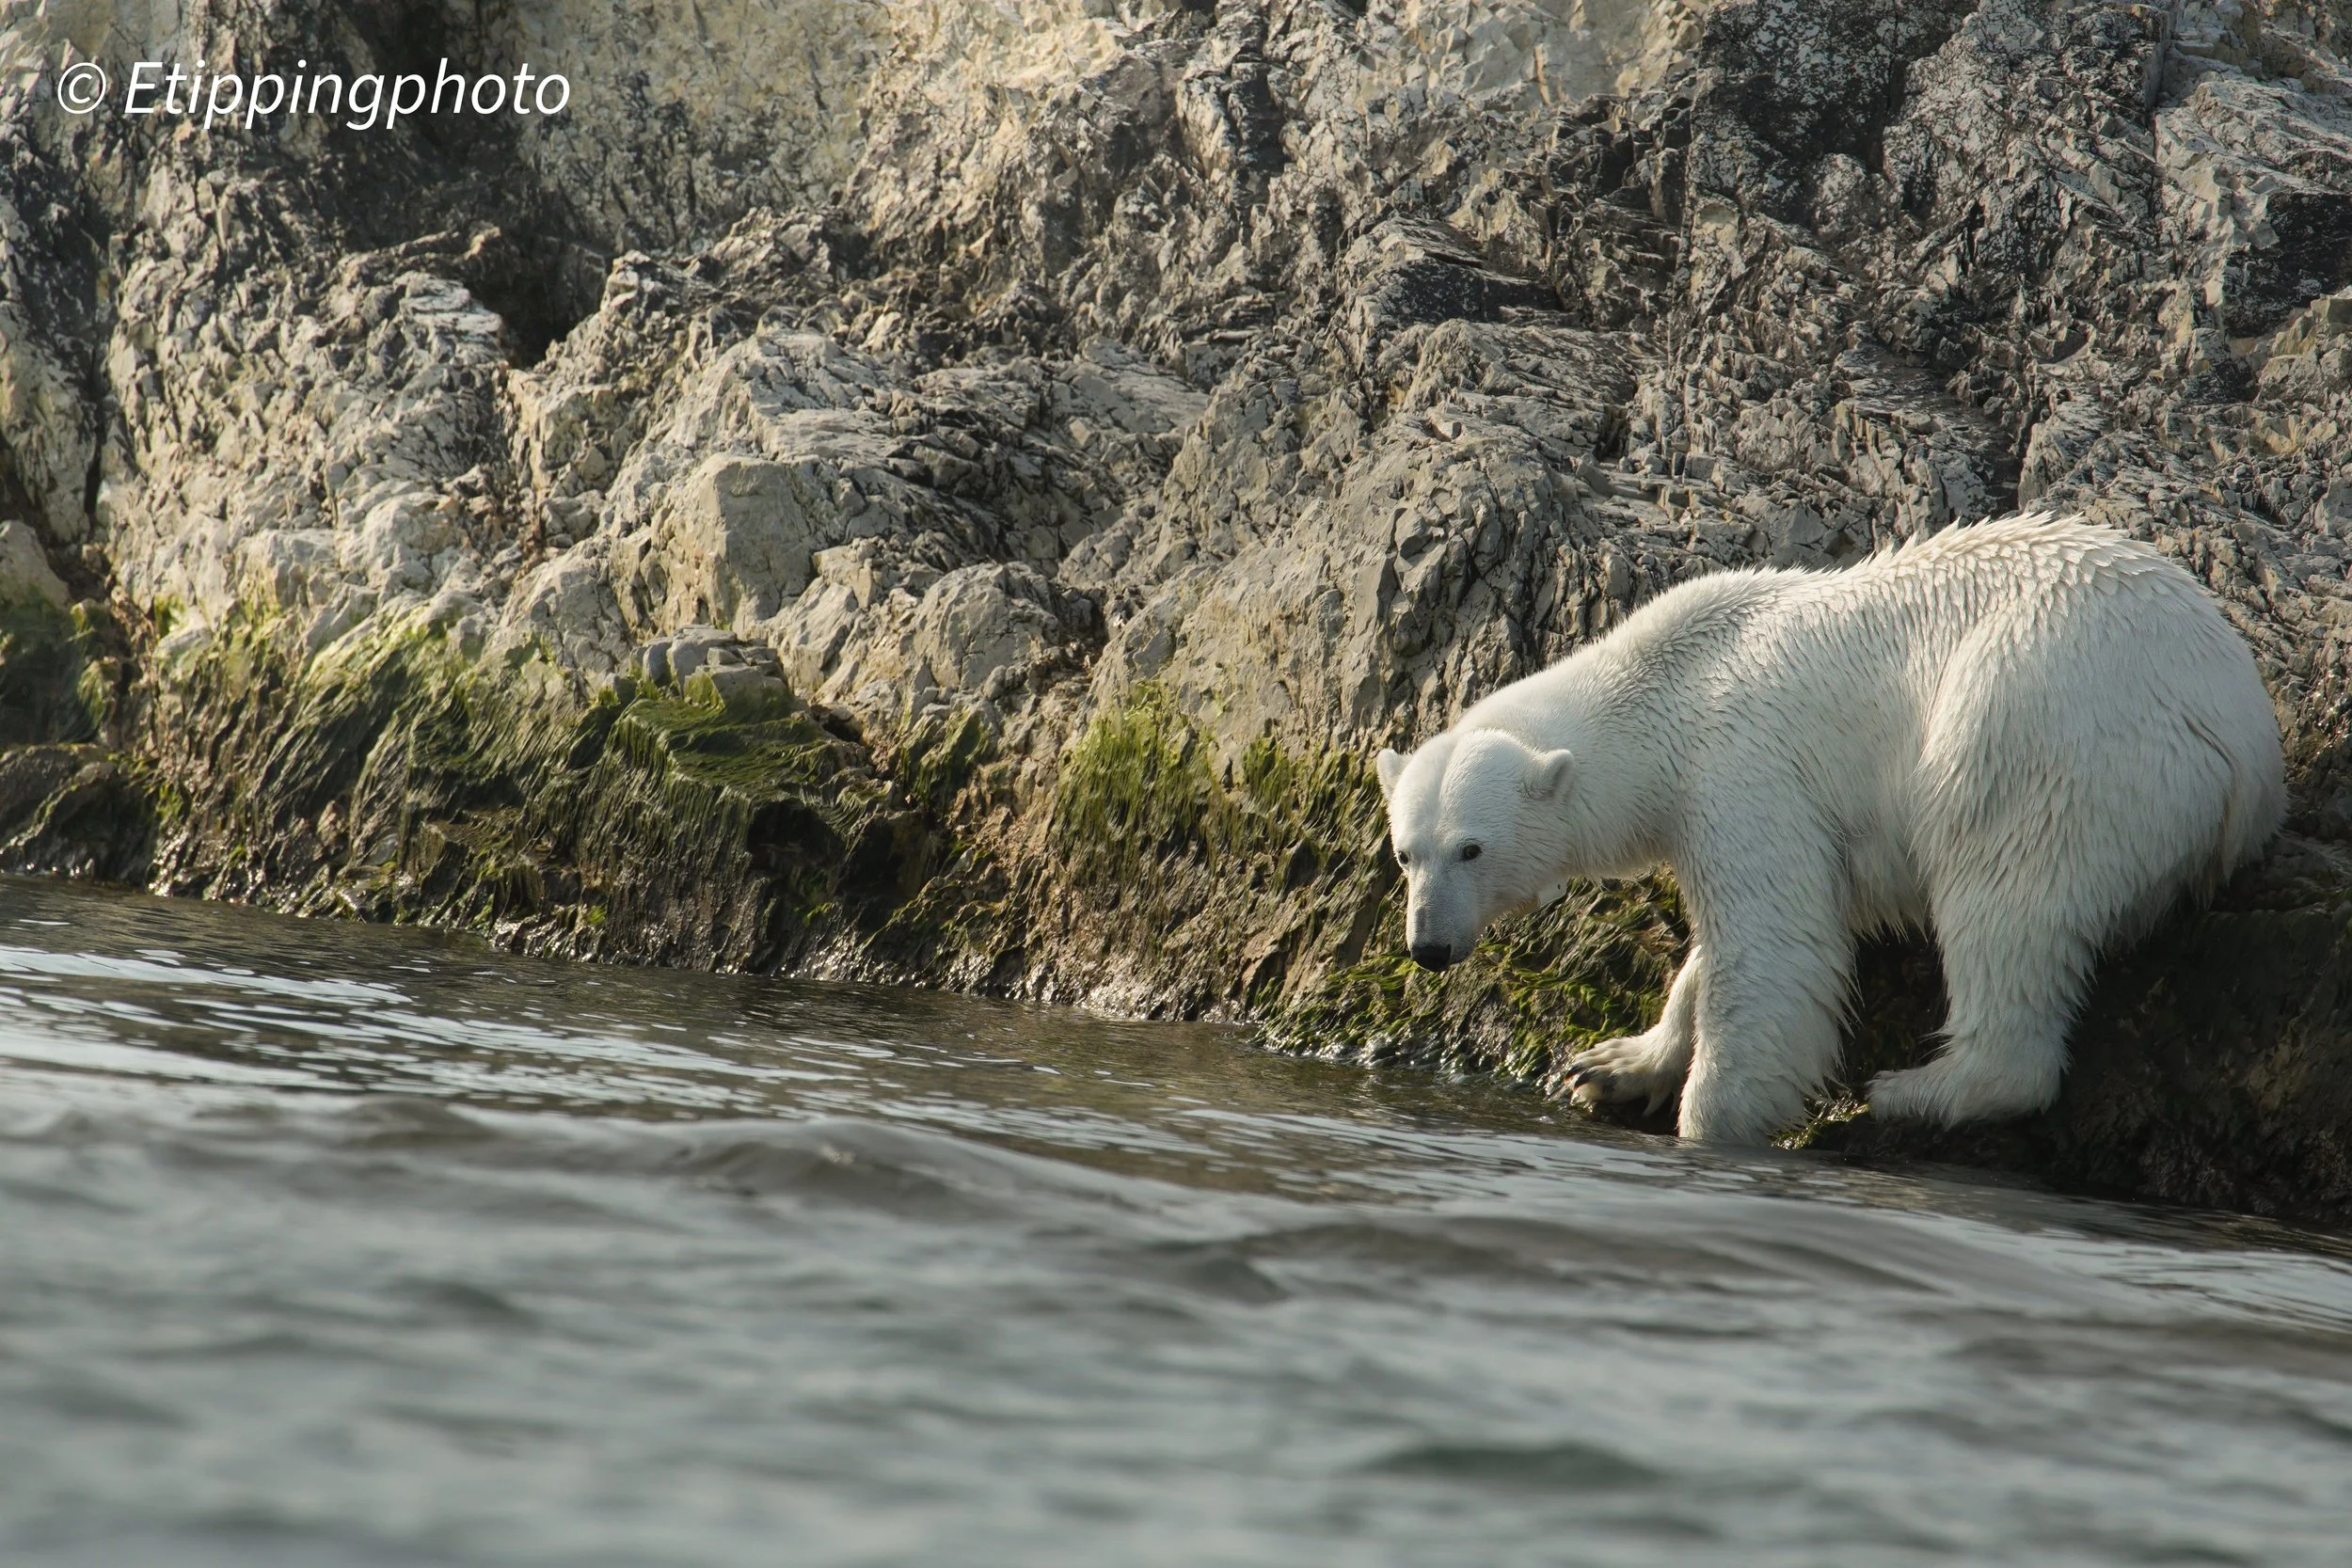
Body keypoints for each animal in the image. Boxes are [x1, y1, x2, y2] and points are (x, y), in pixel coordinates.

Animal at [1374, 514, 2285, 1145]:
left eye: (1472, 848)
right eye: (1405, 852)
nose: (1428, 946)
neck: (1668, 680)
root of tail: (2240, 730)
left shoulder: (1744, 770)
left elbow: (1776, 948)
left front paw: (1710, 1122)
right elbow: (1746, 938)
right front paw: (1613, 1064)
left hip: (2042, 739)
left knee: (2006, 899)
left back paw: (1914, 1089)